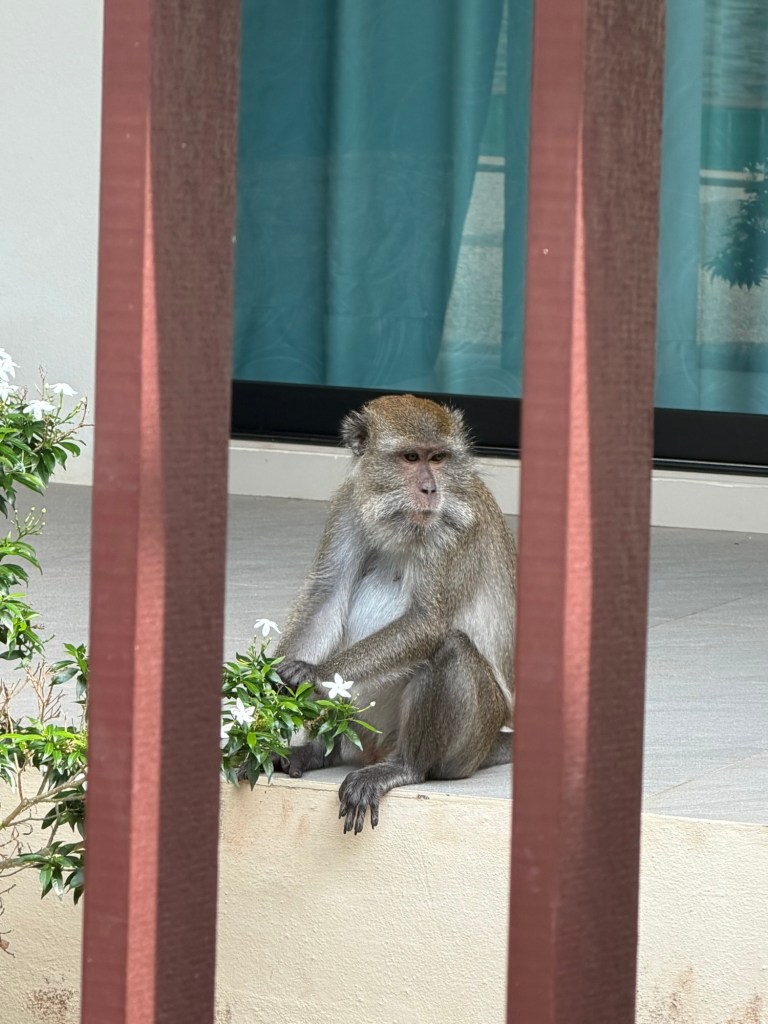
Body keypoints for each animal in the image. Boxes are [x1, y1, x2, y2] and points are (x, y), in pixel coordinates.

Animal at [271, 394, 517, 834]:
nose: (430, 488)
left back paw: (405, 767)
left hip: (468, 745)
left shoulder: (456, 526)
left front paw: (312, 674)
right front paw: (266, 687)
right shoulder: (348, 504)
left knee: (450, 647)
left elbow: (429, 622)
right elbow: (325, 600)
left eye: (437, 458)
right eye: (409, 457)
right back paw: (319, 750)